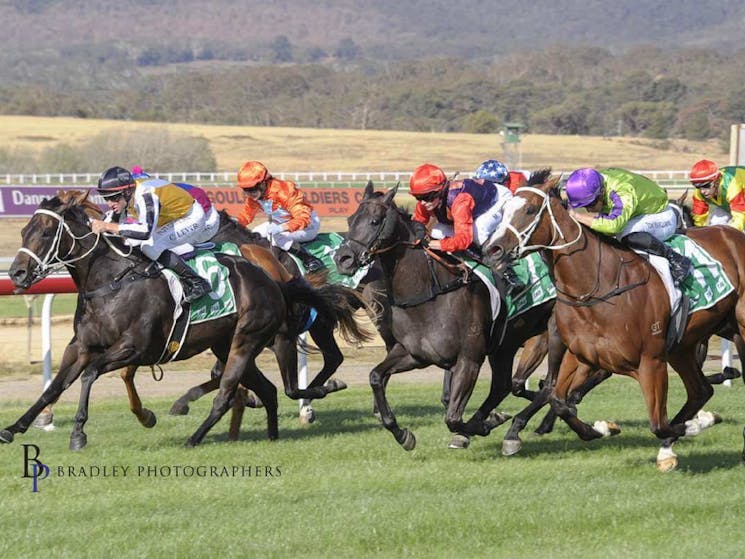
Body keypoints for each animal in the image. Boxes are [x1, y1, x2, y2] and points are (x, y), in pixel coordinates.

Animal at [2, 191, 362, 450]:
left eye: (46, 232)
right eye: (24, 230)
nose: (17, 273)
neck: (112, 282)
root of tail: (274, 279)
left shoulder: (132, 348)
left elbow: (90, 375)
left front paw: (79, 432)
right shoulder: (81, 347)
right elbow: (54, 386)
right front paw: (15, 427)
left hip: (250, 339)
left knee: (238, 390)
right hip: (229, 344)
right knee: (272, 389)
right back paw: (273, 432)